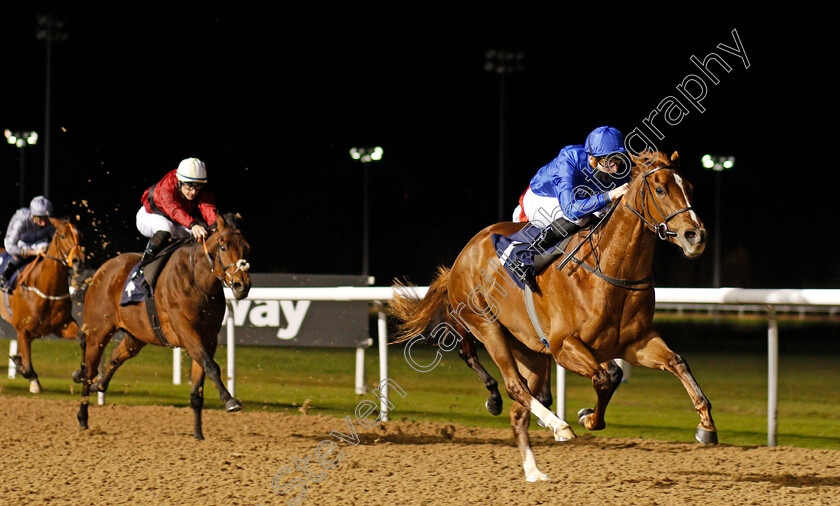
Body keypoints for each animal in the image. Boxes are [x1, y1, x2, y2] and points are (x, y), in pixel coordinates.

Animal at [392, 151, 716, 482]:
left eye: (689, 187)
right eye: (660, 189)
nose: (696, 236)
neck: (610, 270)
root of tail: (463, 255)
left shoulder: (636, 343)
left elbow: (673, 363)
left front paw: (706, 426)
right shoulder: (563, 346)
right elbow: (604, 377)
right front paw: (586, 418)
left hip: (529, 349)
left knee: (519, 409)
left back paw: (534, 471)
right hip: (488, 327)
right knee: (514, 386)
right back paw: (555, 425)